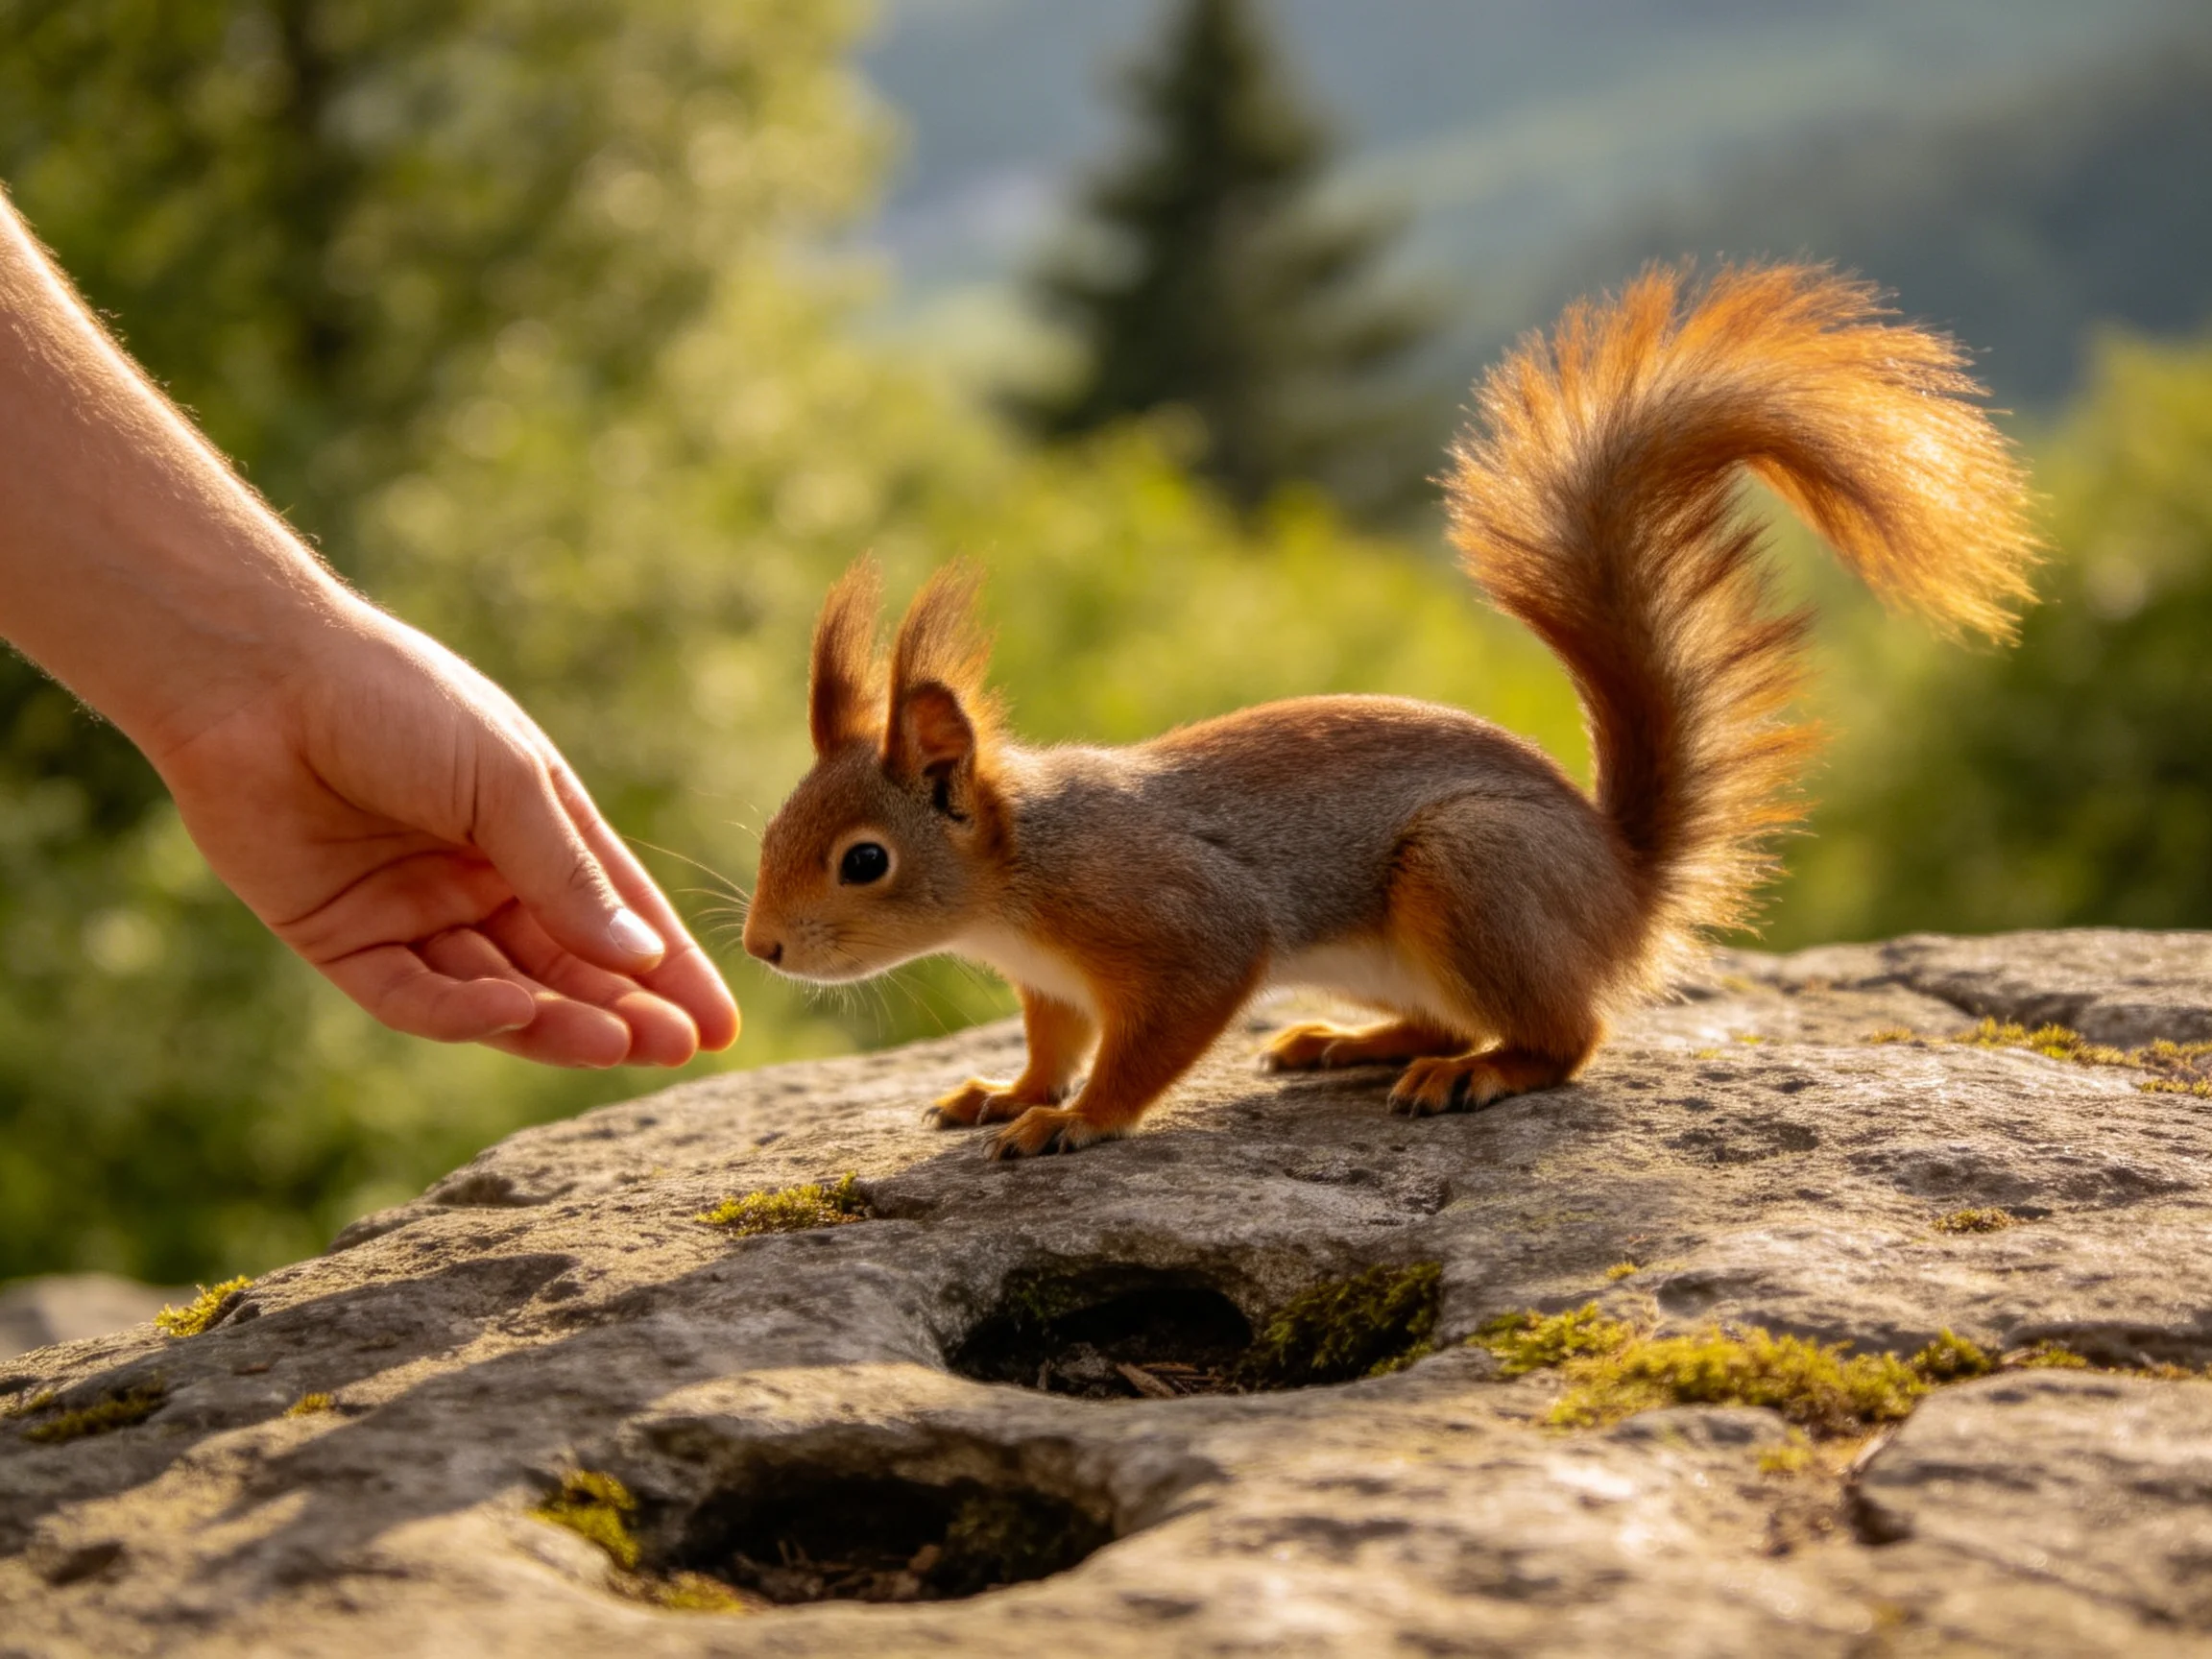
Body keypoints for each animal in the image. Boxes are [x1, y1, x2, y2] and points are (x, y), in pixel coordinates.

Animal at [741, 264, 2040, 1160]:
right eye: (771, 830)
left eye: (864, 860)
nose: (761, 948)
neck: (1020, 872)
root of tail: (1623, 888)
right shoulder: (1053, 984)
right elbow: (1050, 1044)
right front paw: (1006, 1095)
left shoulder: (1184, 922)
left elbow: (1153, 1038)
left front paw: (1077, 1121)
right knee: (1447, 1020)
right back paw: (1347, 1044)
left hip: (1470, 876)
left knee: (1563, 1038)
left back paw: (1478, 1074)